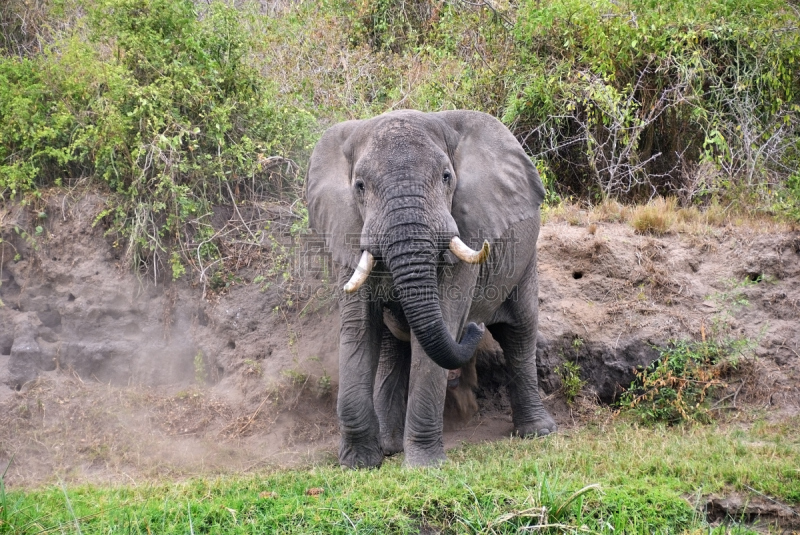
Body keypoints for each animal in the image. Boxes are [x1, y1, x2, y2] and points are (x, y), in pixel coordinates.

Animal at [306, 110, 556, 468]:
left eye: (446, 177)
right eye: (360, 186)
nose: (474, 327)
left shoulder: (467, 228)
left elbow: (446, 319)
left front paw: (425, 466)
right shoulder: (349, 231)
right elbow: (358, 328)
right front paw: (359, 464)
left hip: (525, 258)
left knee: (520, 331)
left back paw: (538, 432)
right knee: (393, 350)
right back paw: (390, 446)